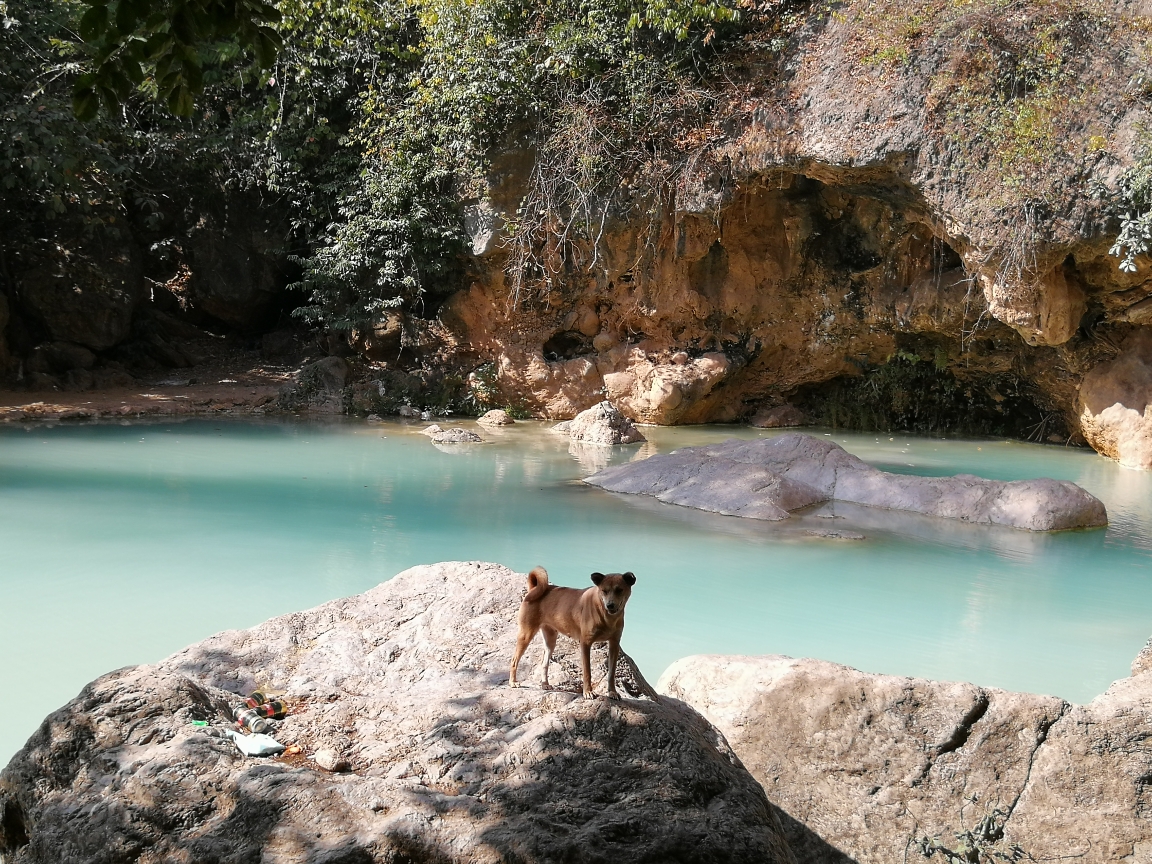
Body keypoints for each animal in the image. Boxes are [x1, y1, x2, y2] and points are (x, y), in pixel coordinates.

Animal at [509, 569, 635, 705]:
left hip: (550, 641)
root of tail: (534, 589)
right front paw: (588, 692)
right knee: (514, 660)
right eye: (604, 591)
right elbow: (587, 672)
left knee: (544, 663)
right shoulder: (585, 643)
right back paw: (513, 682)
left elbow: (611, 673)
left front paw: (612, 692)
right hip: (526, 634)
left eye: (619, 590)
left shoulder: (614, 645)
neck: (606, 616)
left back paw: (545, 684)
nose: (610, 605)